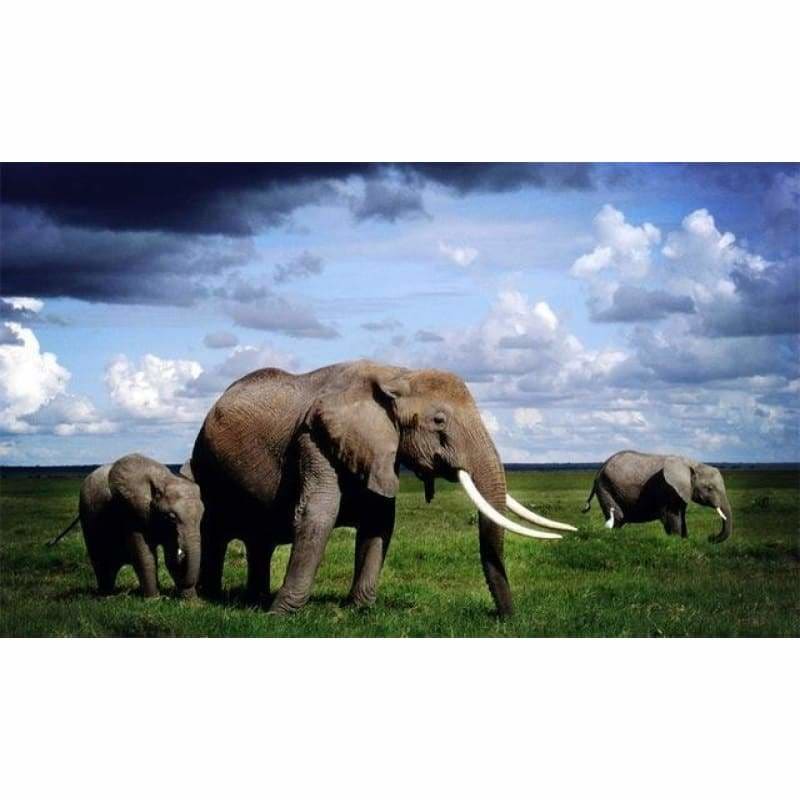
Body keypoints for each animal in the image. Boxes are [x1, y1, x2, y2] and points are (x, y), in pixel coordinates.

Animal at [48, 453, 204, 598]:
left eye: (202, 515)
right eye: (171, 517)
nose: (182, 555)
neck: (164, 479)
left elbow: (170, 557)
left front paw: (190, 601)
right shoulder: (130, 513)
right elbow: (144, 556)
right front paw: (154, 599)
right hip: (87, 516)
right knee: (101, 562)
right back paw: (106, 596)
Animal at [190, 359, 575, 616]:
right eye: (439, 421)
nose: (506, 617)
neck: (397, 375)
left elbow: (379, 522)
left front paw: (358, 610)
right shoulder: (314, 437)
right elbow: (317, 514)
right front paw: (281, 615)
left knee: (259, 540)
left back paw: (252, 599)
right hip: (205, 464)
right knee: (214, 529)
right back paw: (209, 598)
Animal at [582, 450, 732, 543]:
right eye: (710, 488)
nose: (710, 537)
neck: (692, 463)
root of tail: (600, 469)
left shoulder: (682, 491)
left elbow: (681, 515)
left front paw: (685, 540)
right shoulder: (667, 488)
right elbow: (671, 515)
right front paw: (676, 541)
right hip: (605, 487)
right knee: (618, 516)